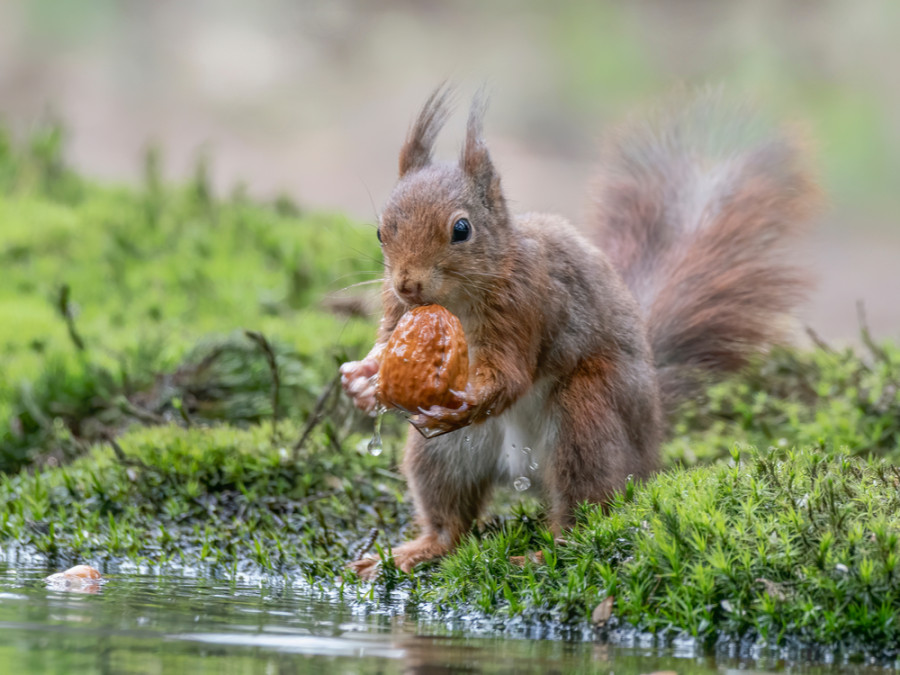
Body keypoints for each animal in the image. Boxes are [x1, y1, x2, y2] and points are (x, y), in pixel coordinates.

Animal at [342, 86, 820, 580]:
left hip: (586, 419)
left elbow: (509, 376)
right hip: (443, 456)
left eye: (461, 229)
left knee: (583, 516)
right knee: (450, 523)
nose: (408, 284)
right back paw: (416, 551)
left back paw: (539, 554)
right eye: (380, 232)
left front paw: (467, 400)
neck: (458, 301)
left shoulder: (523, 307)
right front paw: (361, 380)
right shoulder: (397, 311)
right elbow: (385, 344)